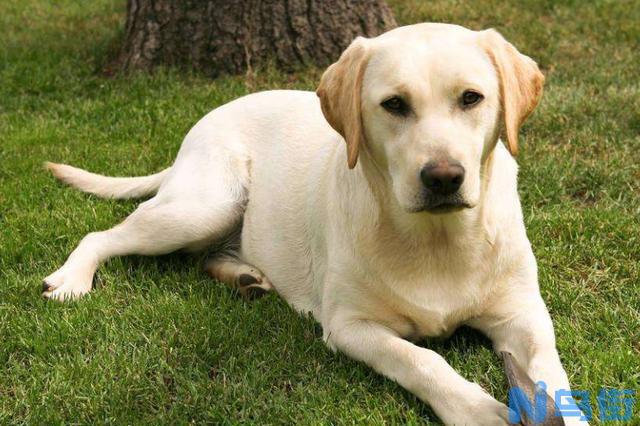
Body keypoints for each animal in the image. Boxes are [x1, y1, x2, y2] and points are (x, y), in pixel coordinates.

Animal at [42, 24, 588, 426]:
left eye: (471, 98)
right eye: (394, 104)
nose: (443, 177)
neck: (438, 240)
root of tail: (204, 122)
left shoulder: (523, 314)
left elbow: (550, 371)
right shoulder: (350, 326)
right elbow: (421, 360)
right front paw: (474, 408)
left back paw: (245, 276)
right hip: (205, 204)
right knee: (104, 235)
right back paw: (72, 279)